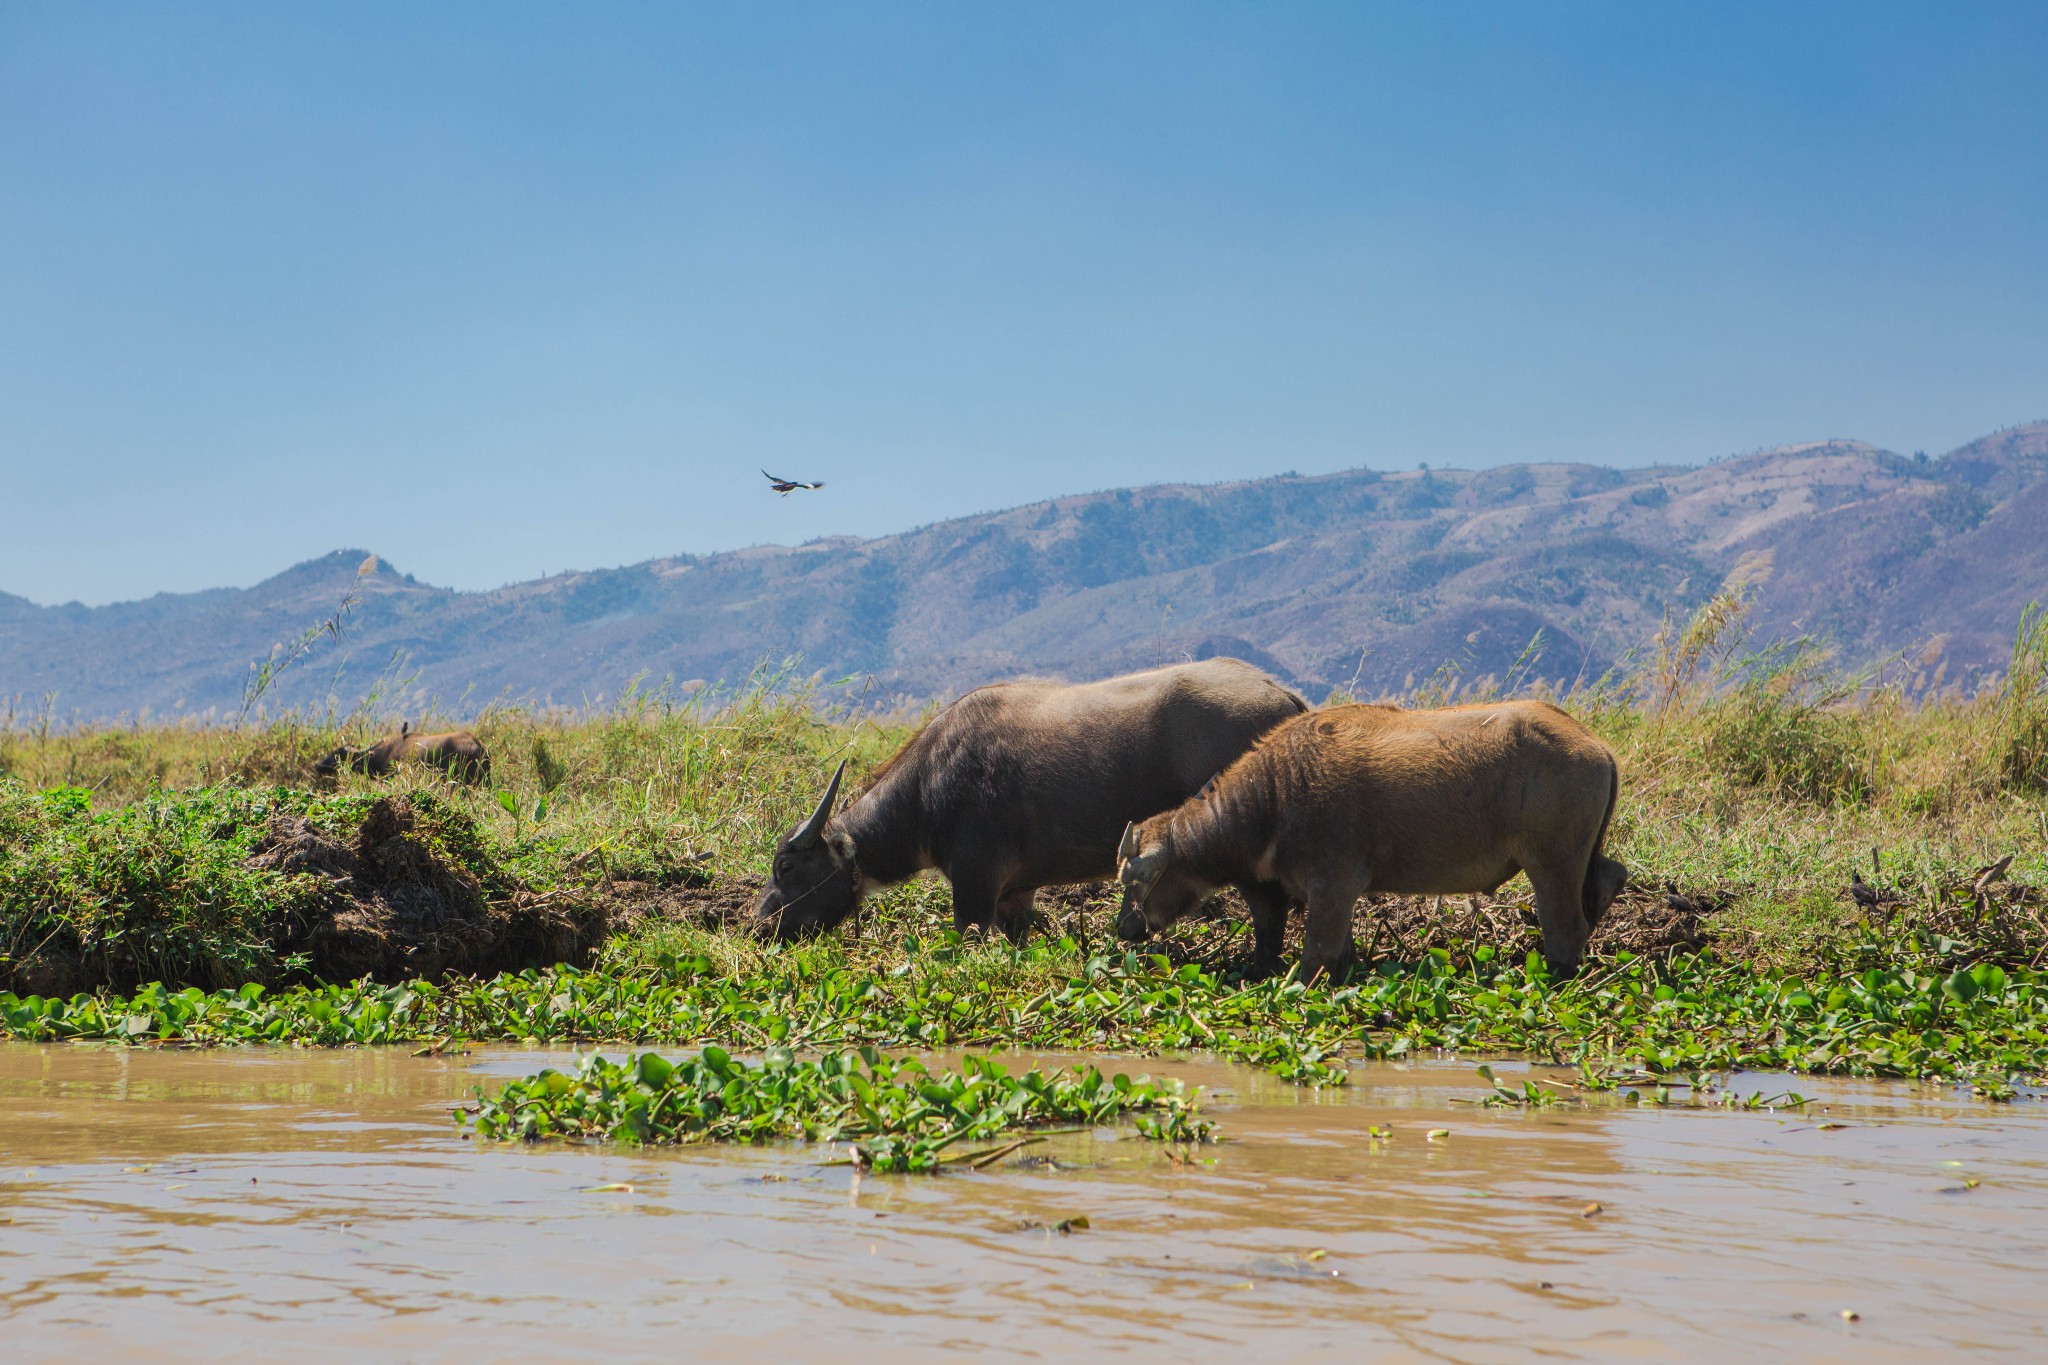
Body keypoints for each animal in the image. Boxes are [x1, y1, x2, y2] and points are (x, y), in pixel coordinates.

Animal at [745, 658, 1302, 941]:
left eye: (787, 867)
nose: (760, 923)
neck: (928, 787)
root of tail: (1286, 698)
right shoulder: (1016, 894)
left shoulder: (975, 886)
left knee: (1270, 910)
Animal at [1114, 703, 1622, 982]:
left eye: (1138, 879)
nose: (1124, 927)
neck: (1273, 796)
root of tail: (1594, 744)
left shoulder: (1332, 886)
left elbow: (1317, 954)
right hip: (1582, 857)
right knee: (1611, 876)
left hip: (1553, 862)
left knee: (1565, 927)